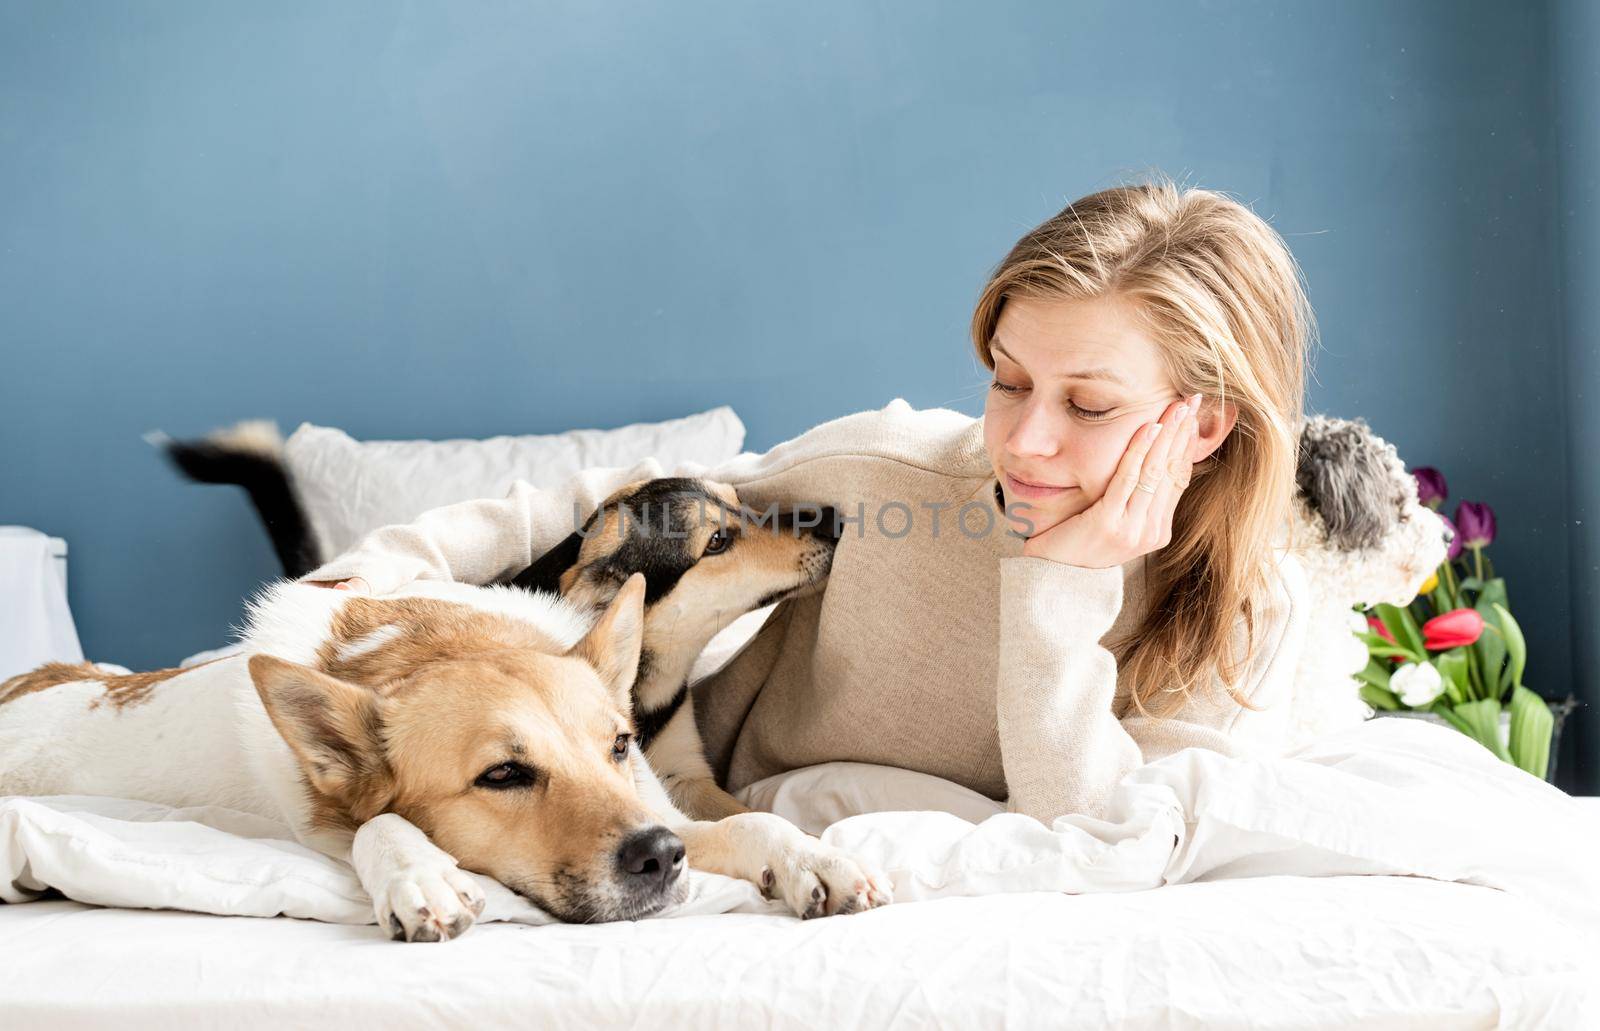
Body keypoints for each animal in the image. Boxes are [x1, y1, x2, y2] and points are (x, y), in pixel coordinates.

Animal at [0, 566, 889, 941]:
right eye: (503, 774)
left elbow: (748, 826)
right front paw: (420, 875)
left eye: (619, 744)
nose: (663, 859)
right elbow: (376, 825)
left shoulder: (656, 806)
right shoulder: (324, 824)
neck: (432, 643)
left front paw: (815, 858)